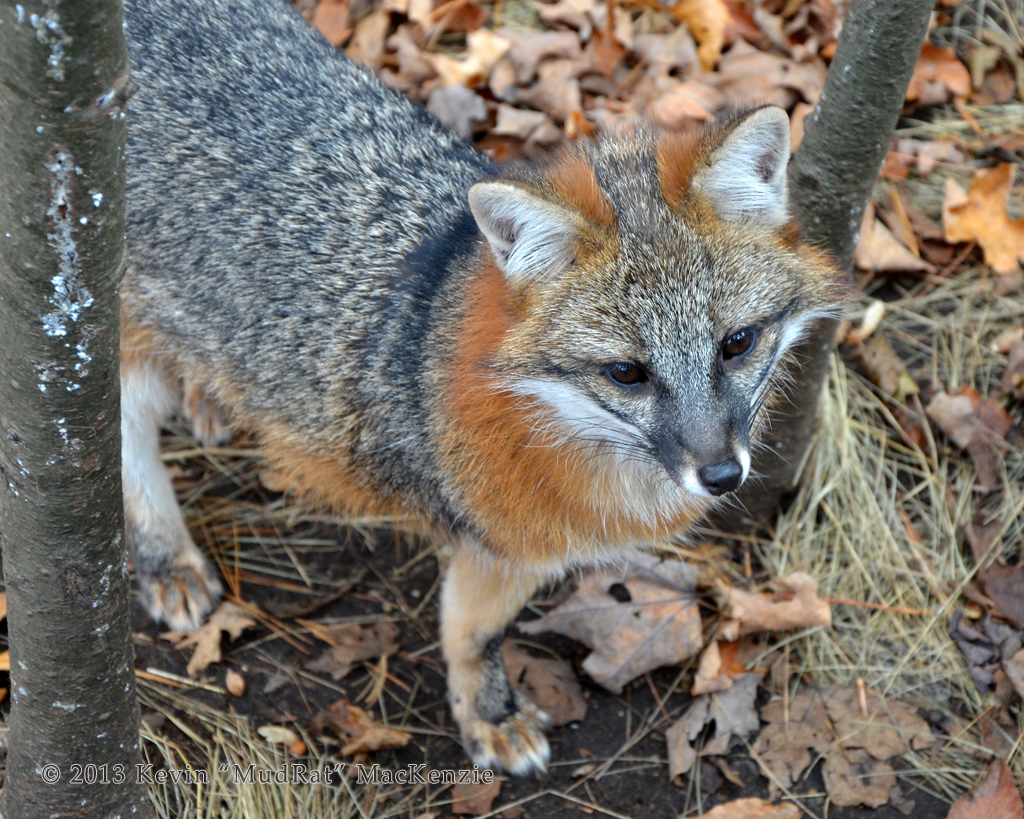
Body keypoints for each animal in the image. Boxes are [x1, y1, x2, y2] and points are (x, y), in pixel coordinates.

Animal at [121, 0, 844, 775]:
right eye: (627, 373)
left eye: (736, 344)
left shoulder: (525, 547)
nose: (721, 476)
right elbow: (472, 635)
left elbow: (478, 629)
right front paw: (488, 714)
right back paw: (165, 555)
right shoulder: (501, 540)